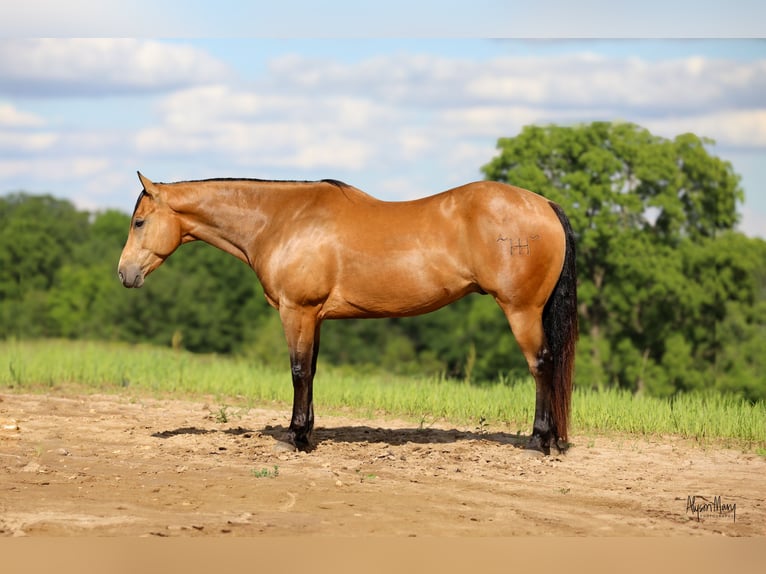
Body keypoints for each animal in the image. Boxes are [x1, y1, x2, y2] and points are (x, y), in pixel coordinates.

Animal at [117, 171, 580, 454]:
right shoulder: (316, 317)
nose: (124, 274)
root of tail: (545, 205)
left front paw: (292, 437)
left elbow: (298, 371)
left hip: (521, 310)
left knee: (542, 365)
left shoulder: (297, 312)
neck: (282, 220)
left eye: (139, 222)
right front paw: (306, 435)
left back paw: (539, 441)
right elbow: (312, 371)